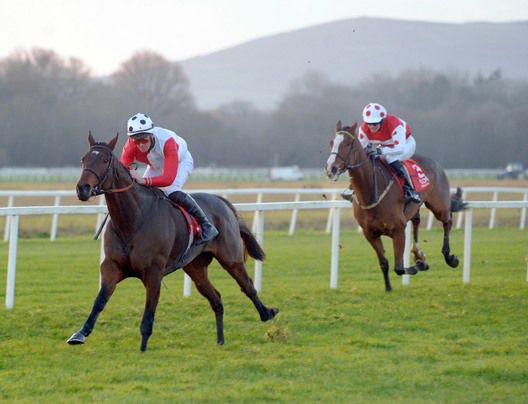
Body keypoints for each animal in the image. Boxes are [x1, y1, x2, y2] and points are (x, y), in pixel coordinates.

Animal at [68, 132, 278, 351]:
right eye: (83, 159)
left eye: (104, 160)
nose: (83, 188)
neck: (132, 221)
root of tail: (222, 201)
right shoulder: (112, 266)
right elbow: (99, 301)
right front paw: (80, 333)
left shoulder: (153, 272)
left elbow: (149, 312)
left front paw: (143, 349)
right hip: (195, 267)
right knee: (216, 299)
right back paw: (220, 340)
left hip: (231, 259)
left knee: (248, 286)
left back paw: (267, 313)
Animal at [325, 121, 466, 292]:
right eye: (332, 143)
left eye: (348, 144)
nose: (331, 168)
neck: (371, 191)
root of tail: (435, 163)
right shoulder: (370, 234)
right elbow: (384, 263)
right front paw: (388, 287)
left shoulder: (398, 230)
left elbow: (399, 267)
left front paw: (419, 266)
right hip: (414, 208)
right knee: (416, 222)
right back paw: (418, 254)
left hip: (439, 205)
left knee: (447, 221)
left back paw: (449, 257)